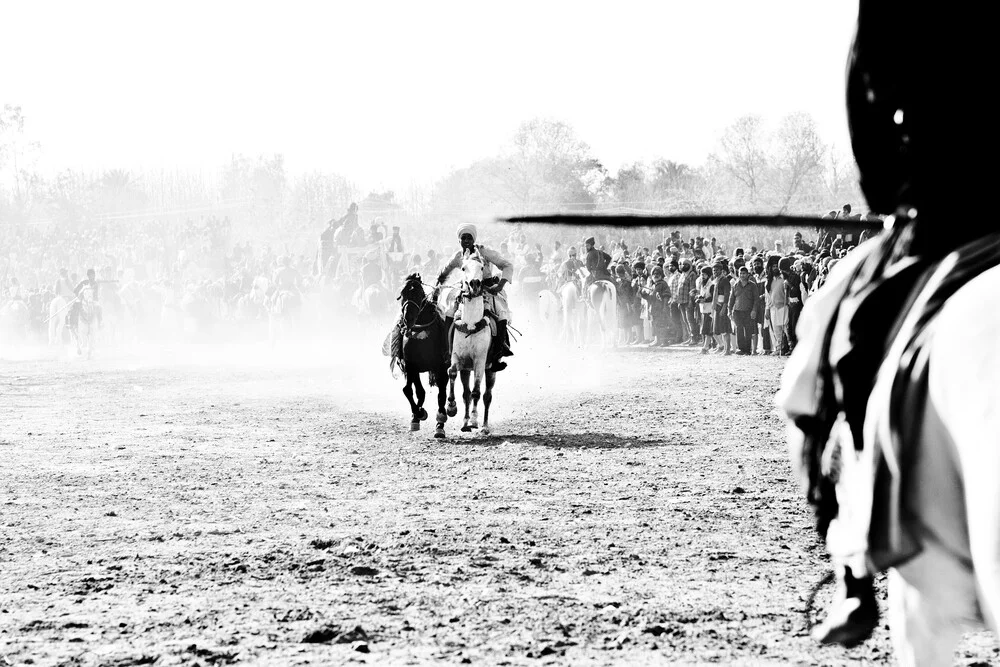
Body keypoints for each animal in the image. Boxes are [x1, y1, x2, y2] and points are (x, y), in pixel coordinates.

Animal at [394, 276, 450, 438]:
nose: (408, 318)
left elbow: (441, 394)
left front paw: (440, 423)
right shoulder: (411, 366)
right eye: (403, 293)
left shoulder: (440, 366)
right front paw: (417, 415)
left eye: (419, 294)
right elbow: (410, 390)